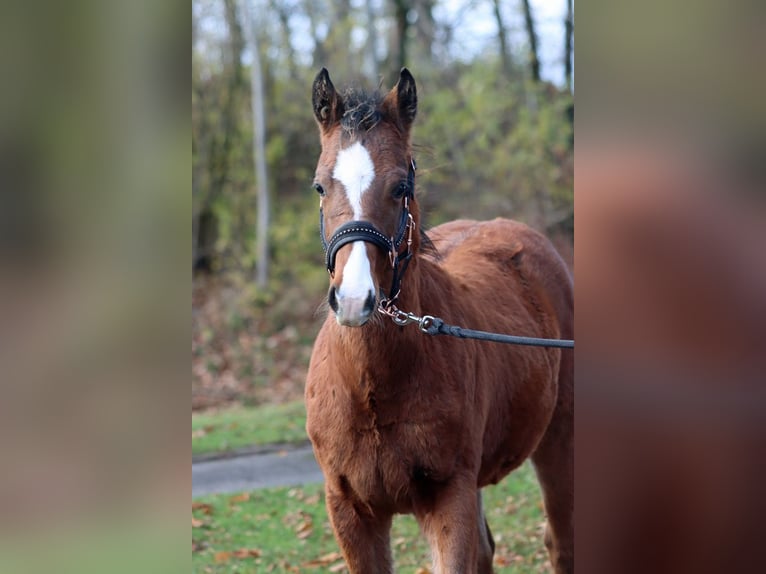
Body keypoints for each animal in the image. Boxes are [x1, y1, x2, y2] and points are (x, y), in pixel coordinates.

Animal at [304, 68, 573, 574]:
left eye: (401, 188)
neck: (372, 389)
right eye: (320, 186)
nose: (353, 300)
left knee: (561, 543)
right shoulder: (349, 510)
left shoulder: (449, 498)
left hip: (558, 440)